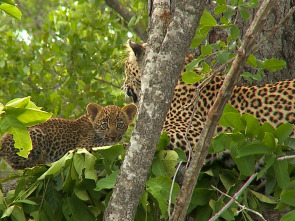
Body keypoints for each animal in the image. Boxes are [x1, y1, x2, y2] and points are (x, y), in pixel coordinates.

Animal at [0, 102, 138, 169]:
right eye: (104, 125)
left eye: (120, 125)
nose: (113, 137)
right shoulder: (83, 147)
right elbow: (106, 147)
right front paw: (125, 145)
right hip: (33, 135)